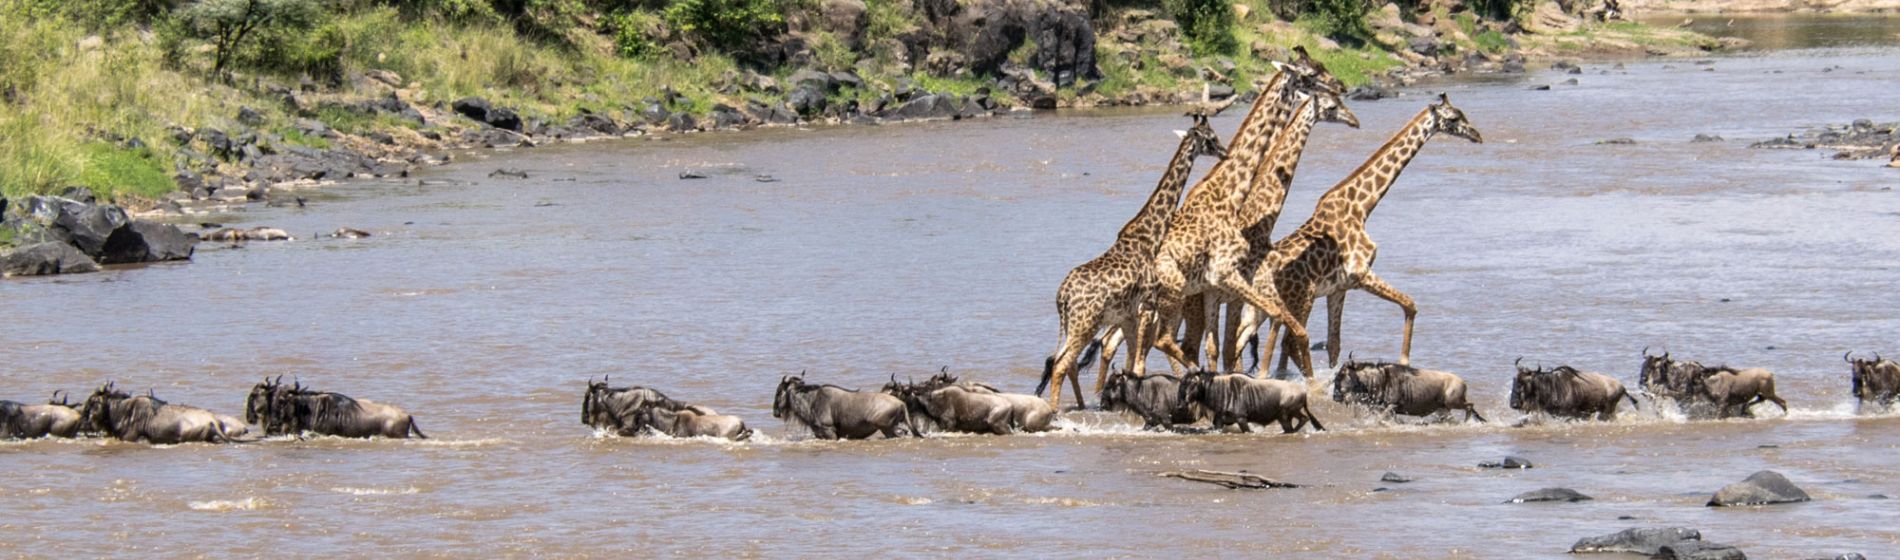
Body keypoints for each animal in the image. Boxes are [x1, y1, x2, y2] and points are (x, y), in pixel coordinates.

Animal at [1041, 112, 1231, 411]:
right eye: (1211, 138)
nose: (1225, 153)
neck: (1150, 237)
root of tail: (1062, 297)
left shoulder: (1129, 315)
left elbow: (1131, 365)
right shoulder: (1147, 306)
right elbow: (1140, 365)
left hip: (1074, 324)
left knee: (1063, 362)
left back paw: (1081, 405)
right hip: (1086, 323)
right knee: (1060, 364)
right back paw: (1055, 410)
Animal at [1231, 94, 1482, 379]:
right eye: (1454, 118)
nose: (1477, 135)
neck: (1361, 207)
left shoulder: (1339, 288)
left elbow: (1334, 344)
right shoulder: (1361, 275)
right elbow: (1410, 303)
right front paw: (1404, 362)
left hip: (1264, 306)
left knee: (1245, 338)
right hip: (1299, 298)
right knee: (1285, 339)